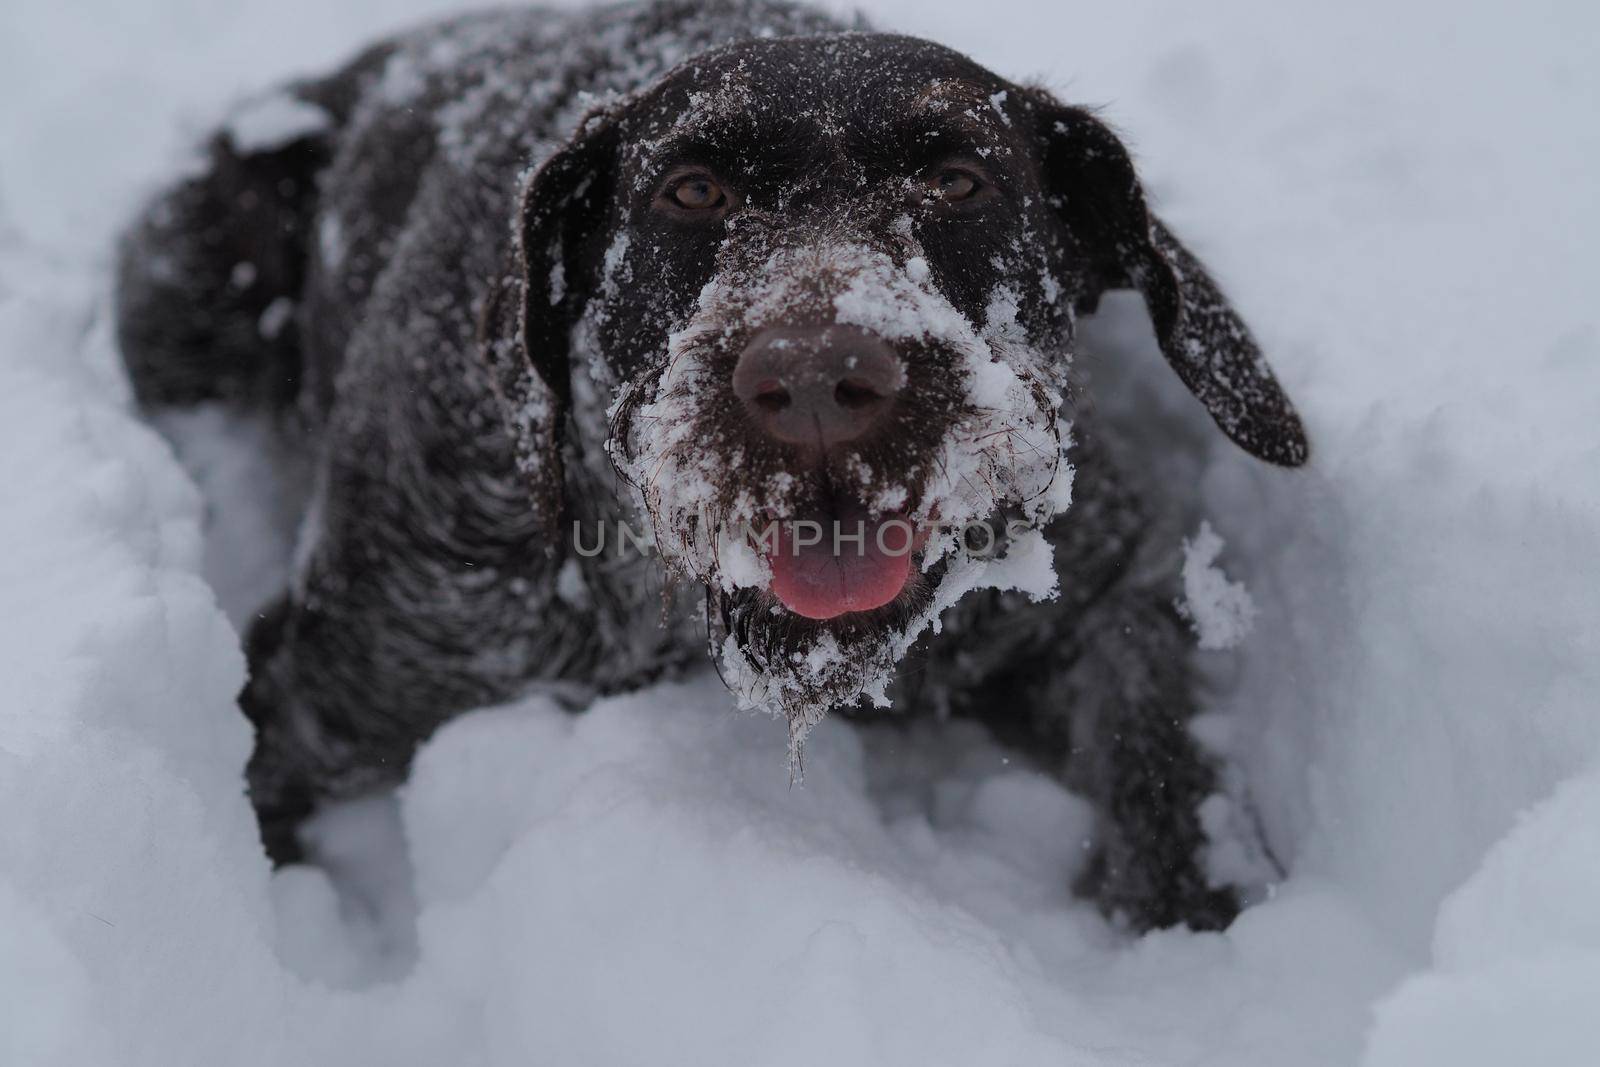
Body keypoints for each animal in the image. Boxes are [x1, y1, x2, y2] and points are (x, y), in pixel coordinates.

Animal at [116, 0, 1312, 927]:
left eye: (960, 180)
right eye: (691, 191)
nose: (819, 379)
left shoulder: (1108, 583)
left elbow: (1159, 749)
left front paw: (1189, 907)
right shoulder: (319, 689)